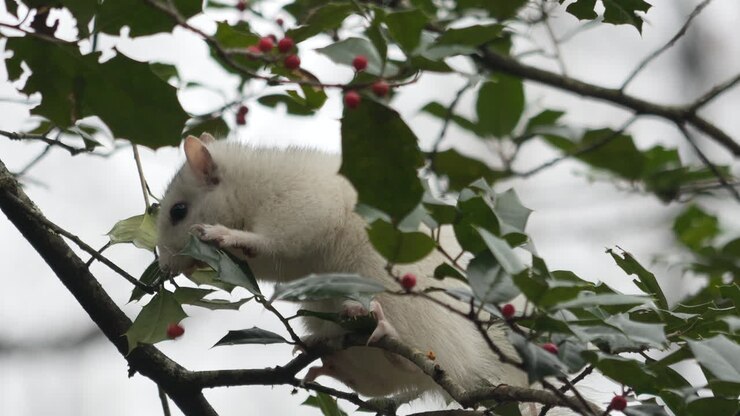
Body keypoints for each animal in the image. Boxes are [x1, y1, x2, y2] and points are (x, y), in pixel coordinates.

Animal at [157, 133, 526, 400]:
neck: (251, 189)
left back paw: (383, 329)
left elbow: (278, 239)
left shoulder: (301, 203)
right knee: (384, 382)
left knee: (422, 361)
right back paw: (332, 366)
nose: (165, 268)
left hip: (408, 304)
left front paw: (224, 235)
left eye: (178, 211)